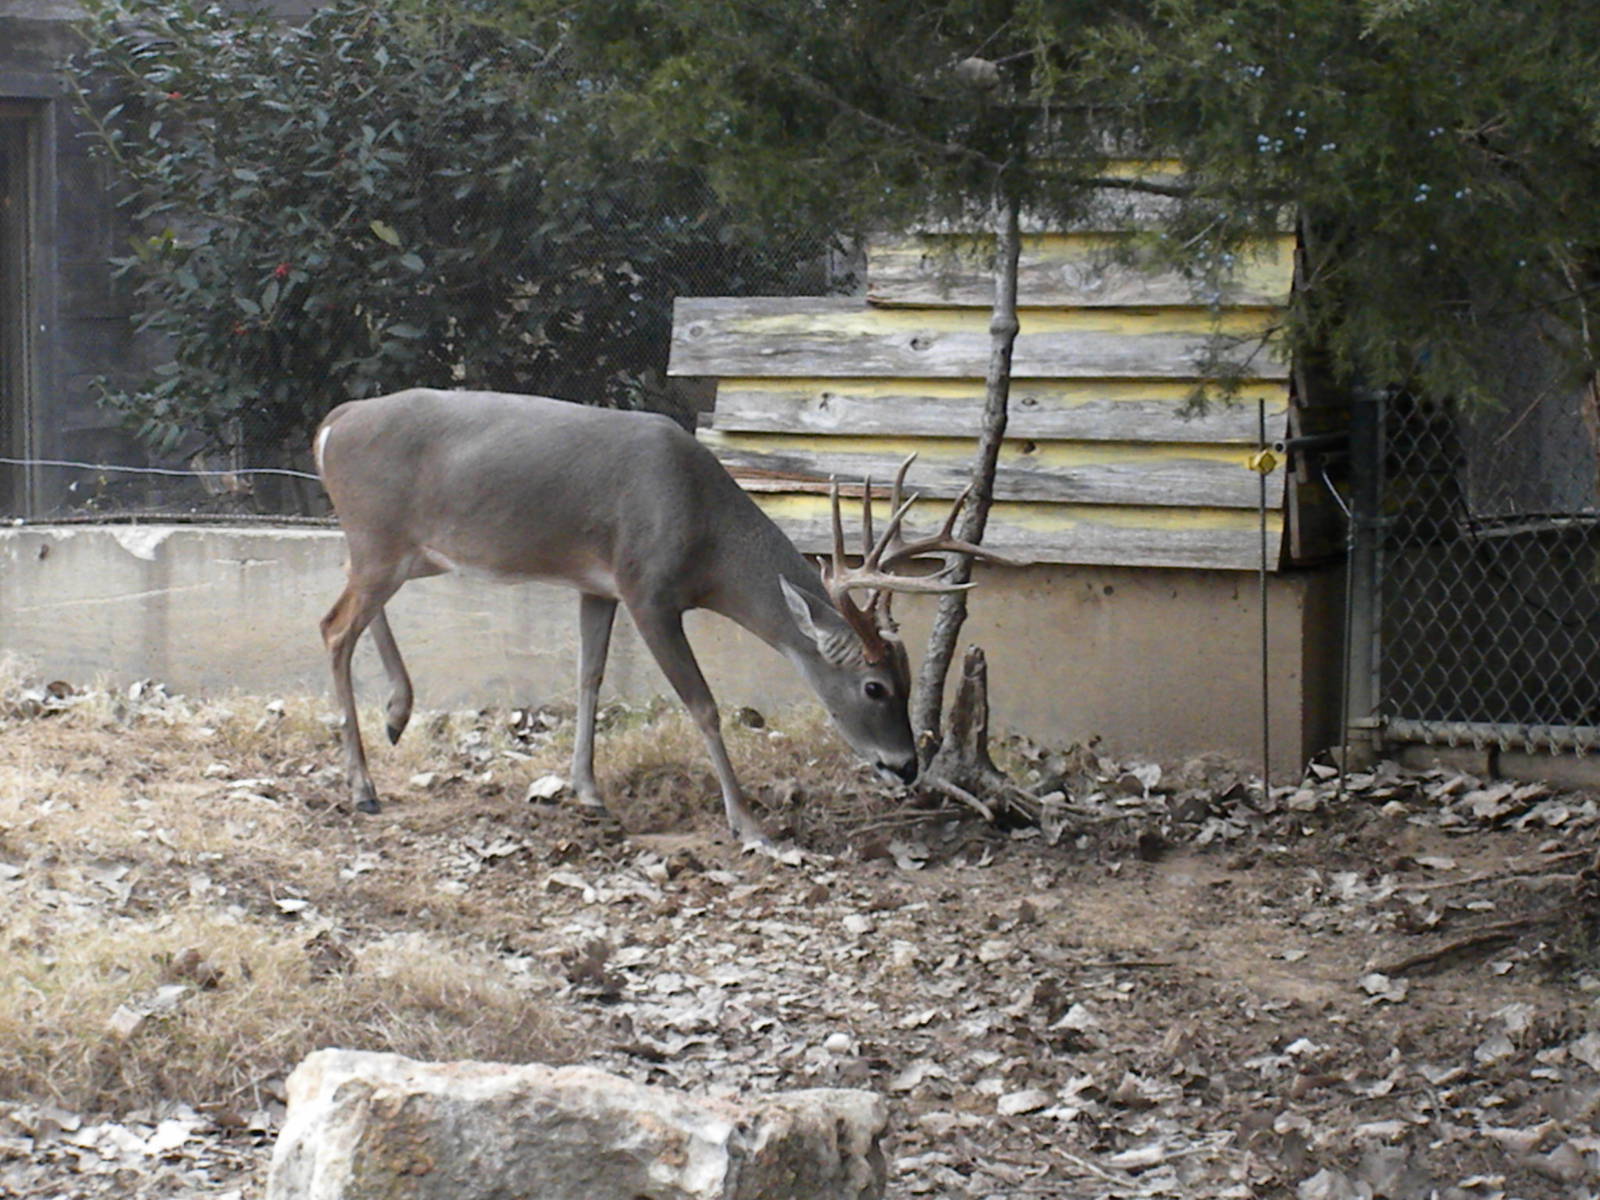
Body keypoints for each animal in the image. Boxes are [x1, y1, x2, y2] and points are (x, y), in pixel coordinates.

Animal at [314, 387, 1001, 844]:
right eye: (874, 686)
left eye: (909, 681)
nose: (905, 765)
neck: (704, 533)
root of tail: (331, 423)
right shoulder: (649, 589)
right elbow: (702, 704)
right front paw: (750, 824)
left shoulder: (600, 586)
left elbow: (589, 678)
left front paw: (588, 792)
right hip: (383, 537)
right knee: (334, 626)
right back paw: (363, 787)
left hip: (407, 550)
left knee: (348, 594)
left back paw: (397, 712)